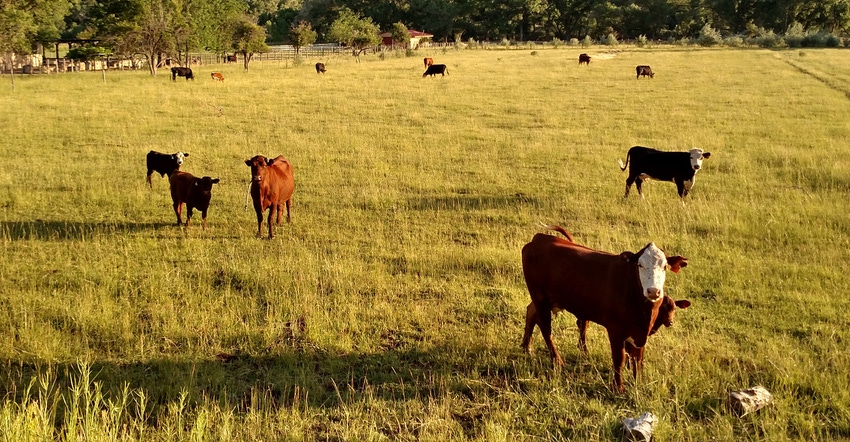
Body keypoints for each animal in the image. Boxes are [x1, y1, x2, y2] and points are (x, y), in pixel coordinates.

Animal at [516, 226, 688, 392]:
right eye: (640, 265)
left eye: (664, 266)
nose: (653, 291)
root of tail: (540, 238)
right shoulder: (615, 329)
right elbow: (619, 358)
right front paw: (618, 387)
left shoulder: (640, 334)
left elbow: (637, 359)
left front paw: (638, 383)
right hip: (540, 298)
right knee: (545, 328)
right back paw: (557, 360)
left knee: (531, 312)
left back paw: (526, 347)